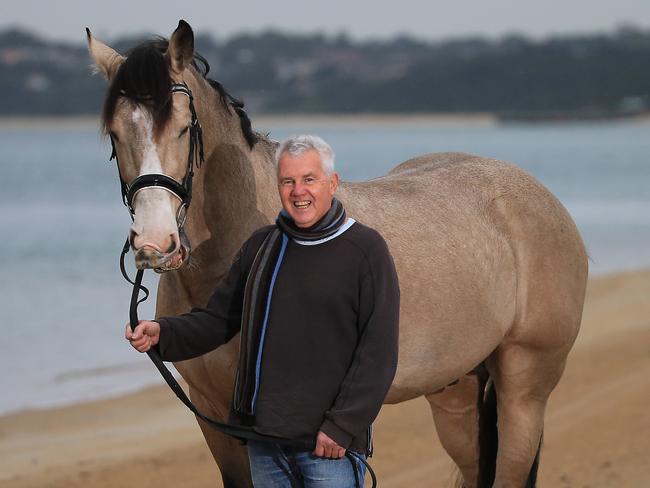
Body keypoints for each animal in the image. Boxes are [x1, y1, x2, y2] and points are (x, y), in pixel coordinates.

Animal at [86, 20, 588, 488]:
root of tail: (542, 199)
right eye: (114, 133)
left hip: (523, 387)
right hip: (457, 392)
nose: (154, 244)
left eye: (183, 128)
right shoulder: (213, 416)